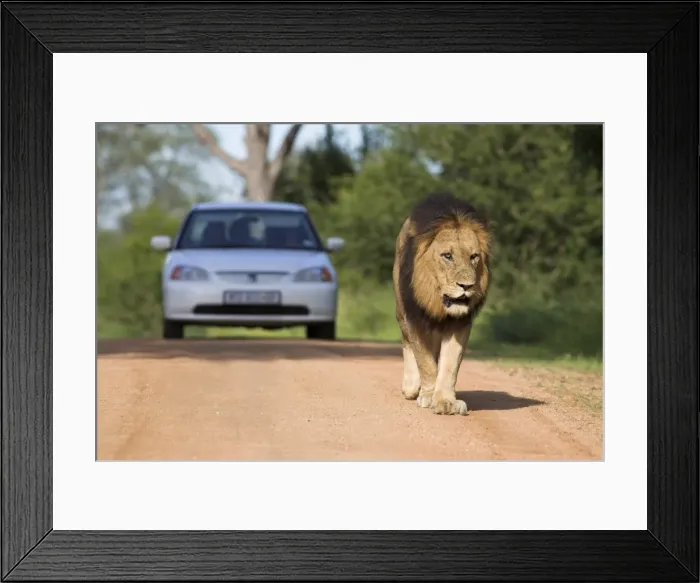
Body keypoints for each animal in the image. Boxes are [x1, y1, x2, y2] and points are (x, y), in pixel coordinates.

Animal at [392, 191, 491, 416]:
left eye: (474, 257)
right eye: (447, 256)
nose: (467, 286)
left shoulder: (459, 324)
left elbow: (449, 365)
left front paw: (446, 401)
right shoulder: (415, 319)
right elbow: (425, 361)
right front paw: (428, 396)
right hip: (401, 311)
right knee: (407, 342)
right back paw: (411, 387)